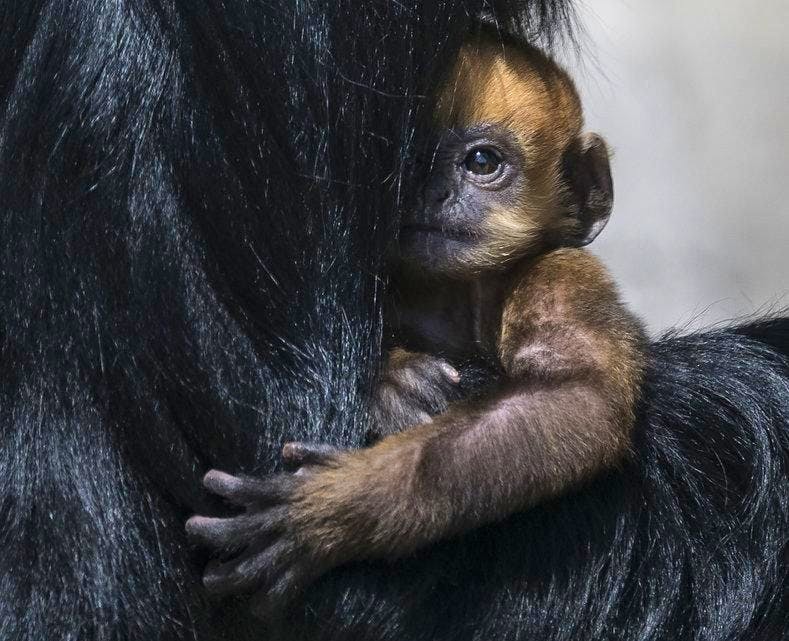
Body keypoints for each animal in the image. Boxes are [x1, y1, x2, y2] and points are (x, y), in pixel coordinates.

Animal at [186, 26, 646, 619]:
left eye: (481, 162)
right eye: (407, 162)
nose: (432, 192)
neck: (453, 297)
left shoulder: (558, 277)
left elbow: (575, 394)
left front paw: (335, 510)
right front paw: (394, 380)